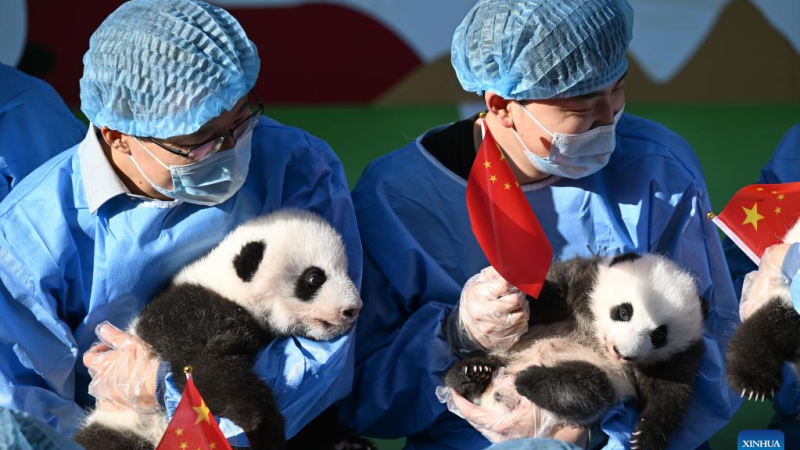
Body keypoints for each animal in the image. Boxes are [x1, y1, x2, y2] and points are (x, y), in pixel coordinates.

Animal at [74, 209, 362, 450]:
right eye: (314, 278)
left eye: (346, 270)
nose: (353, 309)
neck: (230, 288)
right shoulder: (189, 314)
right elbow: (204, 366)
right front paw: (263, 426)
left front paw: (343, 439)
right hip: (125, 426)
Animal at [445, 253, 707, 450]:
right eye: (624, 312)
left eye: (659, 336)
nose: (622, 353)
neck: (597, 333)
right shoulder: (584, 281)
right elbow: (549, 294)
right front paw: (501, 296)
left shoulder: (676, 358)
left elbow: (670, 394)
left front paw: (642, 437)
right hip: (504, 355)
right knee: (461, 372)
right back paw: (474, 372)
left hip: (598, 377)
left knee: (589, 388)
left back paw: (530, 380)